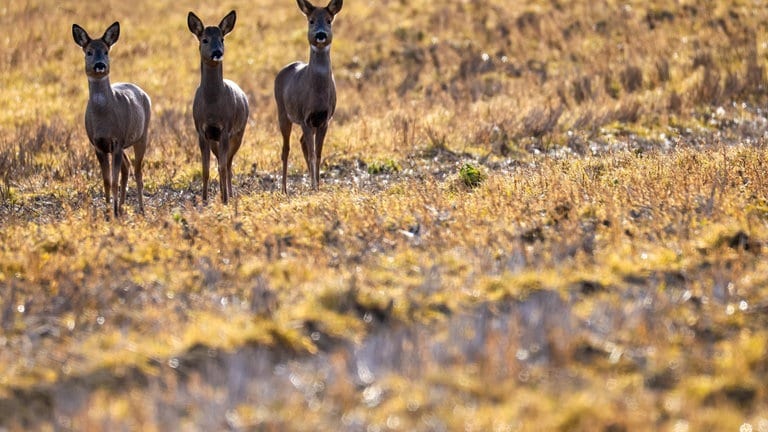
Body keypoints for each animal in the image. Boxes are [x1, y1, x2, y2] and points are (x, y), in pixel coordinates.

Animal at [72, 21, 152, 216]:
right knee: (127, 166)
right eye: (89, 52)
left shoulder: (116, 141)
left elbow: (114, 181)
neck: (104, 120)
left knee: (138, 171)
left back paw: (140, 209)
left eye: (106, 51)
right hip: (123, 145)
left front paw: (113, 211)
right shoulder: (98, 145)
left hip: (142, 135)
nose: (100, 65)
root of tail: (142, 92)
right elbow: (107, 181)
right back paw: (121, 206)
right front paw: (108, 211)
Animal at [187, 10, 249, 204]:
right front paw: (204, 199)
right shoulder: (201, 131)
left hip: (239, 133)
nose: (217, 52)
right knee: (223, 163)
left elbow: (221, 166)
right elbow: (206, 169)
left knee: (227, 164)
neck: (212, 106)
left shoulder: (225, 129)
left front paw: (225, 199)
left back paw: (228, 194)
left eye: (222, 39)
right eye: (205, 39)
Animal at [274, 0, 344, 193]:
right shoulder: (305, 117)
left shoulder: (324, 119)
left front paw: (317, 186)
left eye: (329, 20)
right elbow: (313, 154)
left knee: (302, 143)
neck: (317, 95)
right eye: (311, 20)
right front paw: (314, 186)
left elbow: (318, 154)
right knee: (286, 149)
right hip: (283, 113)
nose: (320, 34)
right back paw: (284, 190)